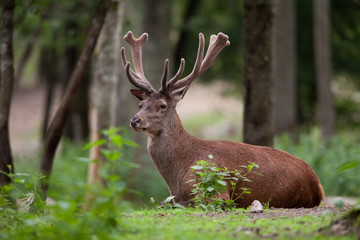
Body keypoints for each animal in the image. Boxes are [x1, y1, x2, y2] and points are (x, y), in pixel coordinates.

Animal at [120, 31, 324, 208]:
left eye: (162, 105)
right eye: (141, 104)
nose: (135, 120)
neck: (176, 177)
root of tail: (317, 184)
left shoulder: (216, 191)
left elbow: (172, 203)